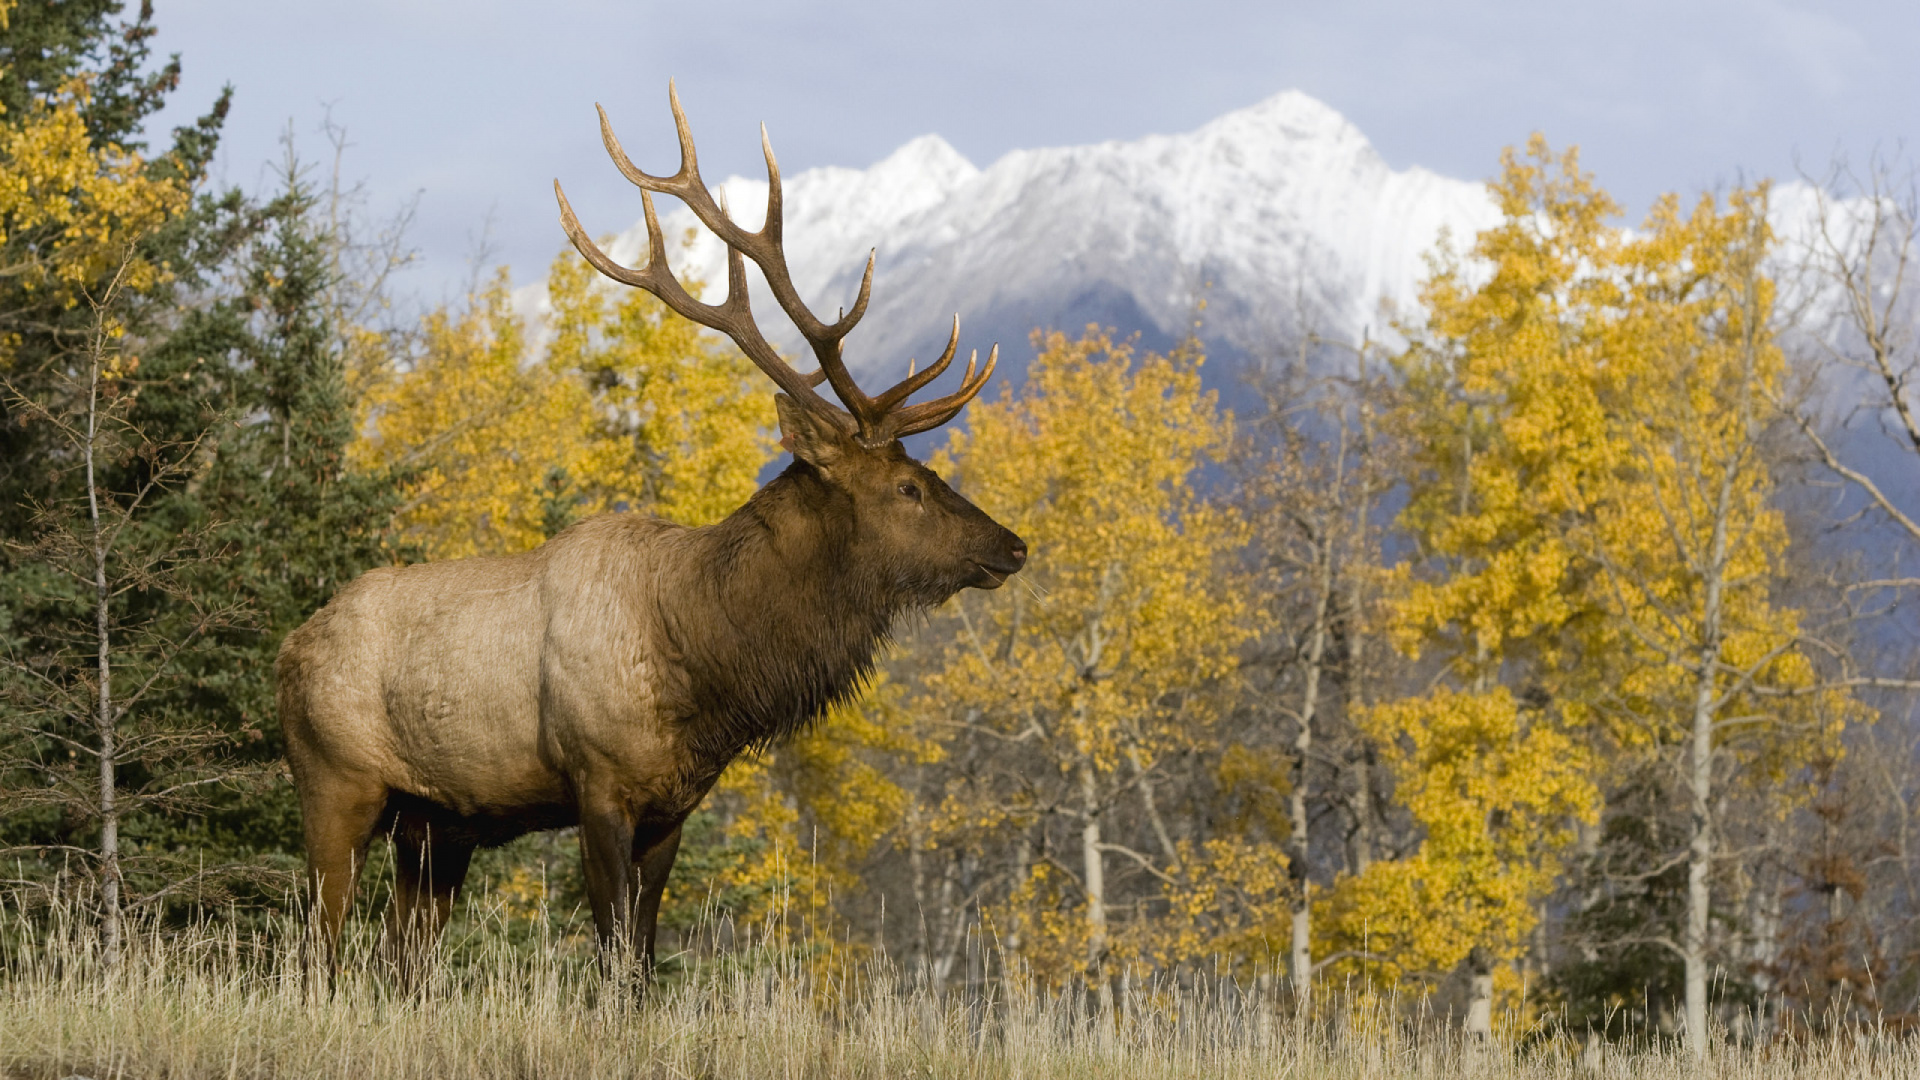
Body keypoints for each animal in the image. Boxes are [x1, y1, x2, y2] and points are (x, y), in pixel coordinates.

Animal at [280, 84, 1029, 976]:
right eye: (909, 486)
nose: (1012, 545)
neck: (707, 665)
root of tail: (288, 651)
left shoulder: (674, 806)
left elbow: (640, 959)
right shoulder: (597, 783)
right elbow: (611, 956)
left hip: (437, 824)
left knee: (401, 961)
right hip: (336, 780)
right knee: (318, 948)